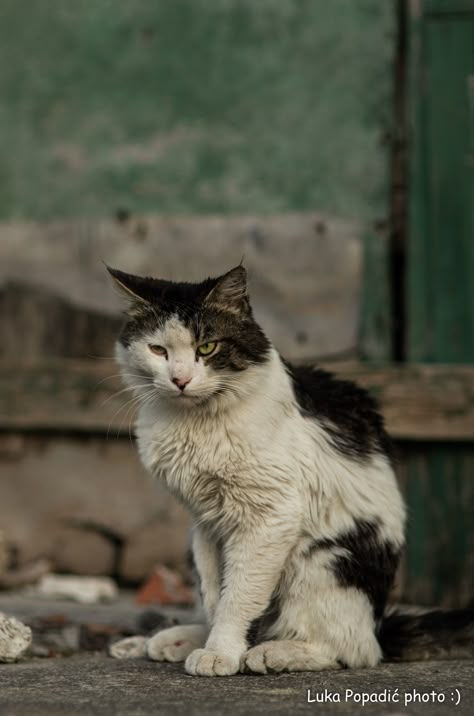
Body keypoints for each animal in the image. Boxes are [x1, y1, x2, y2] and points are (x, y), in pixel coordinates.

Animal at [107, 264, 474, 676]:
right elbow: (216, 594)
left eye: (207, 348)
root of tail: (378, 624)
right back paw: (168, 640)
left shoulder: (271, 517)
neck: (195, 422)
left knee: (352, 651)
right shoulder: (204, 520)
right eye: (158, 350)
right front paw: (216, 644)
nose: (180, 380)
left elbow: (240, 596)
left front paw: (221, 652)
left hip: (323, 561)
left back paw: (273, 652)